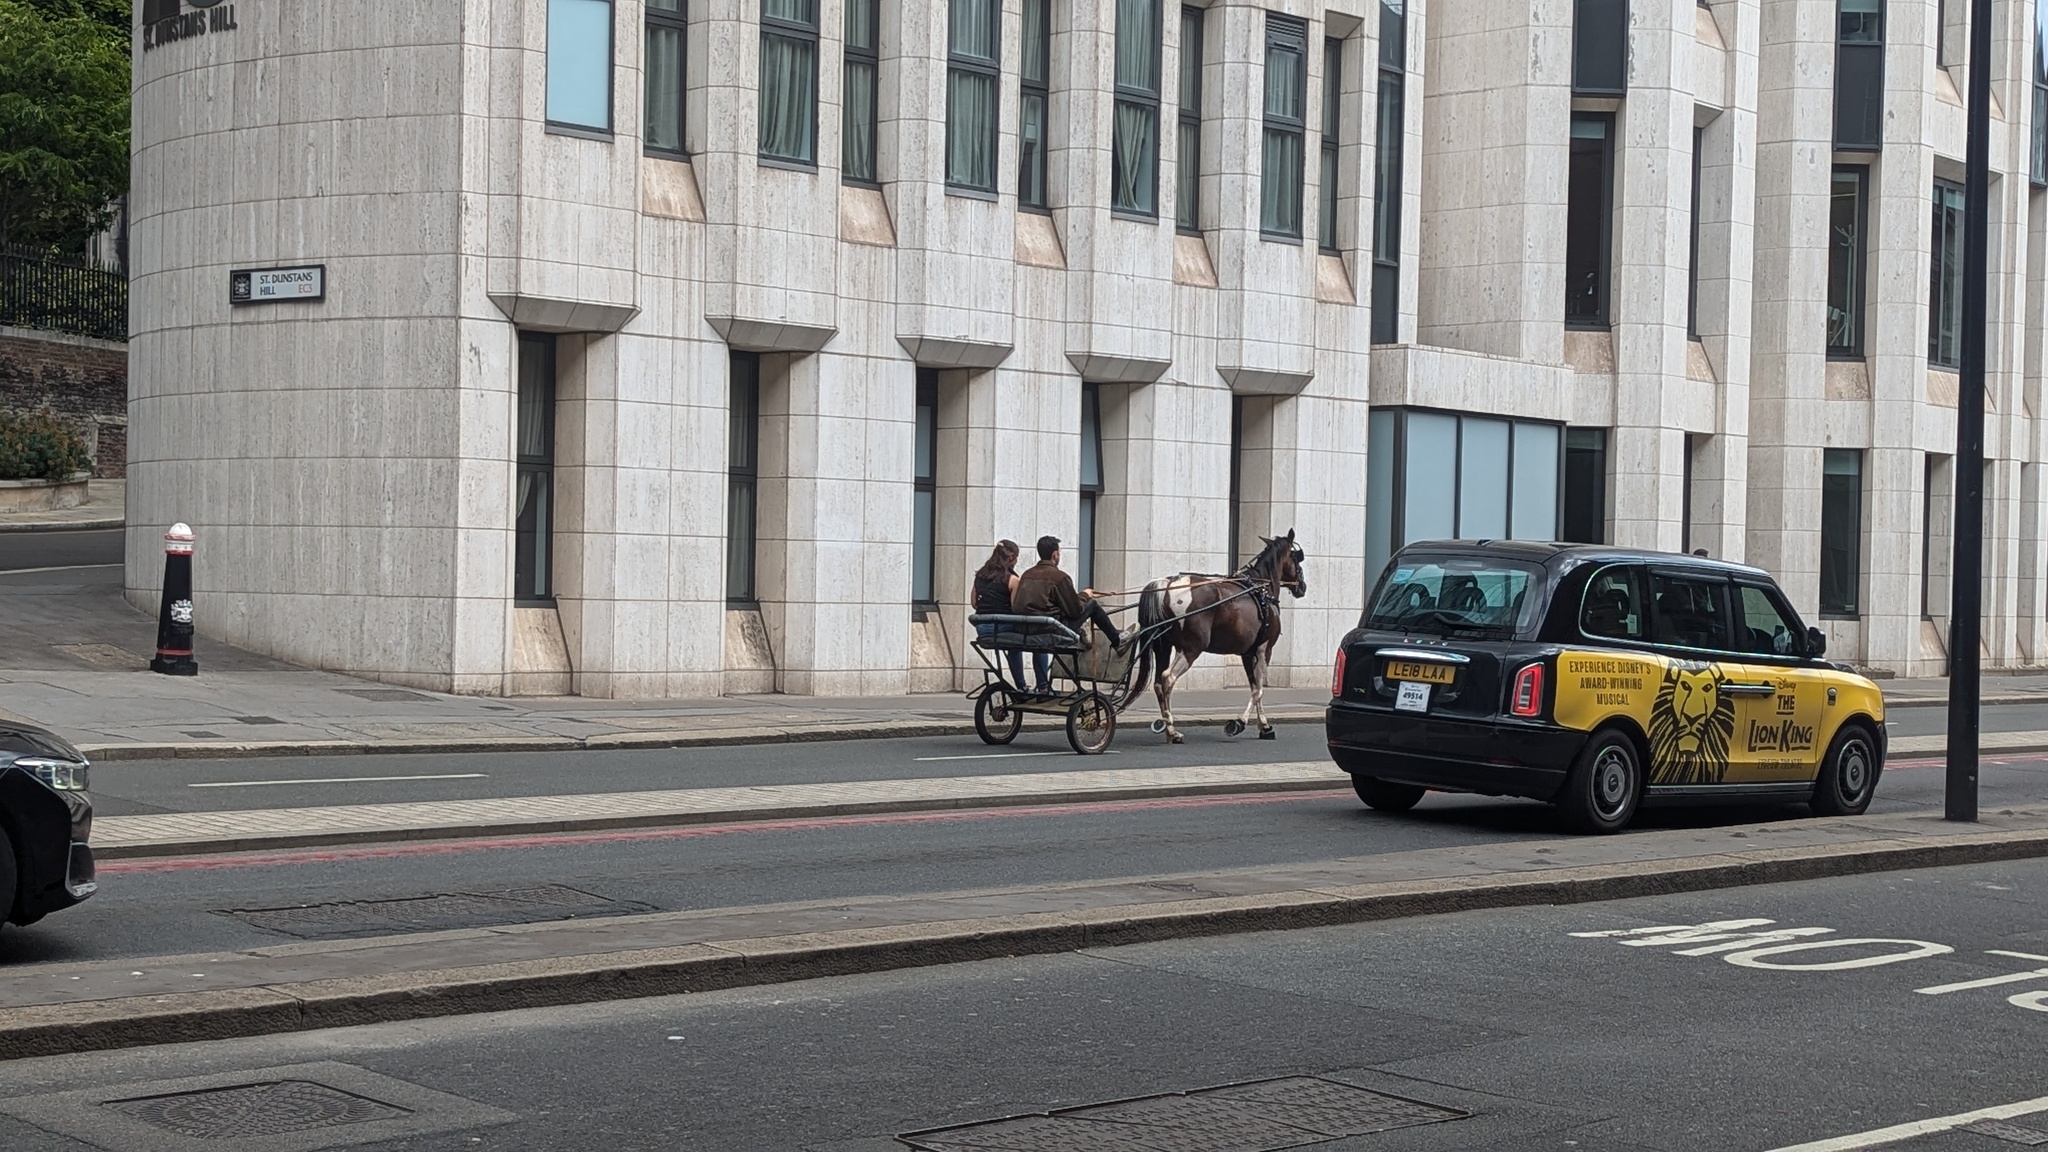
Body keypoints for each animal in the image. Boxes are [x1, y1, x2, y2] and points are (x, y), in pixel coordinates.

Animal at [1138, 532, 1310, 746]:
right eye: (1297, 557)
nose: (1302, 586)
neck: (1262, 589)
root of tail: (1168, 586)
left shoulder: (1247, 653)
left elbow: (1255, 687)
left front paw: (1264, 726)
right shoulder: (1264, 650)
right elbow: (1259, 690)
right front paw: (1240, 723)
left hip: (1163, 646)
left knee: (1158, 684)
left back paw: (1168, 728)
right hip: (1190, 649)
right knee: (1168, 678)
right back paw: (1172, 729)